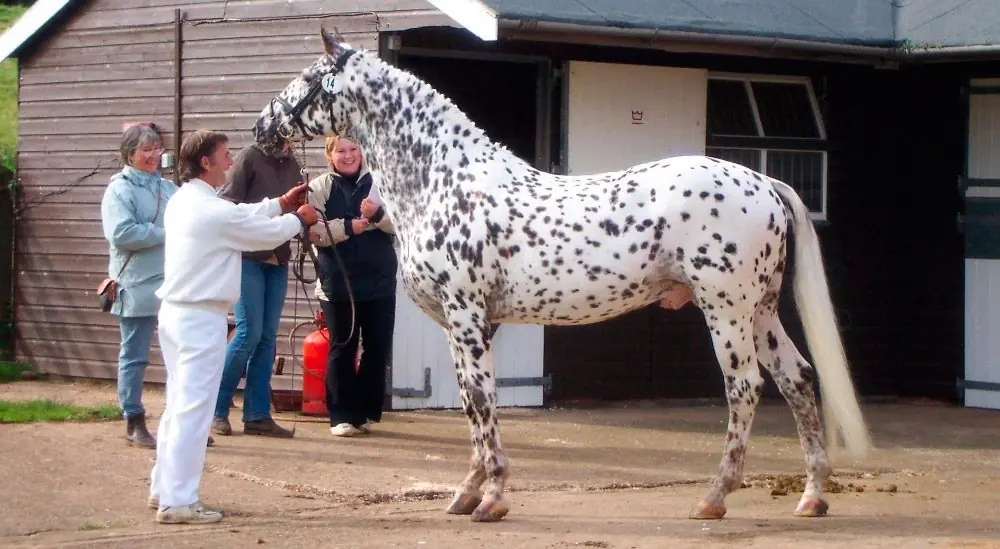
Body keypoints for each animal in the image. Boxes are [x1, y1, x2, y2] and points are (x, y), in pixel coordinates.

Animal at [252, 28, 873, 523]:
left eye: (309, 78)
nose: (262, 126)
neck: (443, 181)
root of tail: (765, 183)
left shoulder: (466, 316)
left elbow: (481, 400)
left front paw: (492, 498)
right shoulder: (466, 325)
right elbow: (474, 402)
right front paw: (468, 491)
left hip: (727, 310)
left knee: (744, 388)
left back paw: (714, 497)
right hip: (760, 311)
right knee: (798, 378)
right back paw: (812, 496)